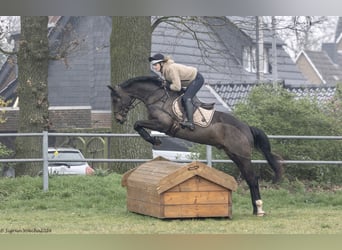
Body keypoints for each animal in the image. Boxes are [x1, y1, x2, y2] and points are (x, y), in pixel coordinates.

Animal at [108, 75, 282, 216]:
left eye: (116, 99)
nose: (118, 119)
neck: (157, 97)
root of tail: (247, 127)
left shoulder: (163, 124)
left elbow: (137, 124)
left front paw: (154, 140)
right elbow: (138, 125)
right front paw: (154, 140)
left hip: (241, 155)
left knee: (252, 178)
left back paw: (259, 209)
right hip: (234, 155)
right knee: (249, 178)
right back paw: (255, 209)